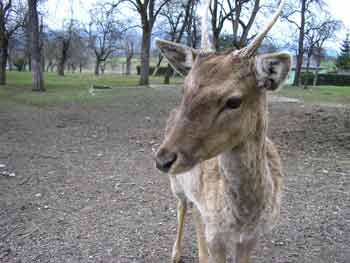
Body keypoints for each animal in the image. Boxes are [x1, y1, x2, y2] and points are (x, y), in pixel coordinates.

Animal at [155, 0, 290, 262]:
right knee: (183, 206)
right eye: (184, 89)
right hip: (176, 185)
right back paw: (176, 253)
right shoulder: (215, 234)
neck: (243, 220)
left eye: (234, 101)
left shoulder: (251, 237)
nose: (163, 159)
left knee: (195, 211)